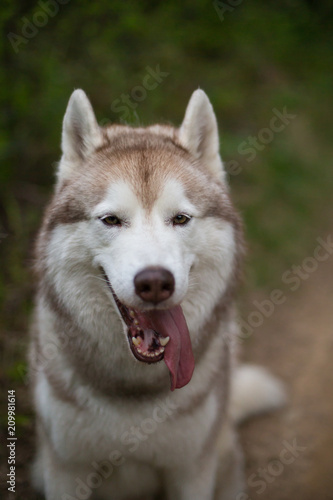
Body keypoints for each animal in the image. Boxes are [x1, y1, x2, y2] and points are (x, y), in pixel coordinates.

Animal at [30, 90, 282, 500]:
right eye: (111, 220)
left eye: (180, 218)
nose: (154, 282)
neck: (135, 392)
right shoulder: (66, 468)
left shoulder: (190, 469)